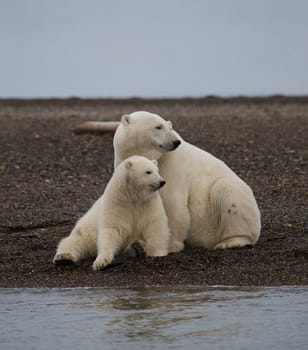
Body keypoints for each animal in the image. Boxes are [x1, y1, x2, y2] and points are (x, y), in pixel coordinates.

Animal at [114, 111, 262, 252]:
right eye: (158, 126)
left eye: (170, 127)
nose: (176, 142)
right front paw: (140, 243)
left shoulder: (171, 165)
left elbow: (172, 202)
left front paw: (170, 245)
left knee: (227, 190)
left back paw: (231, 242)